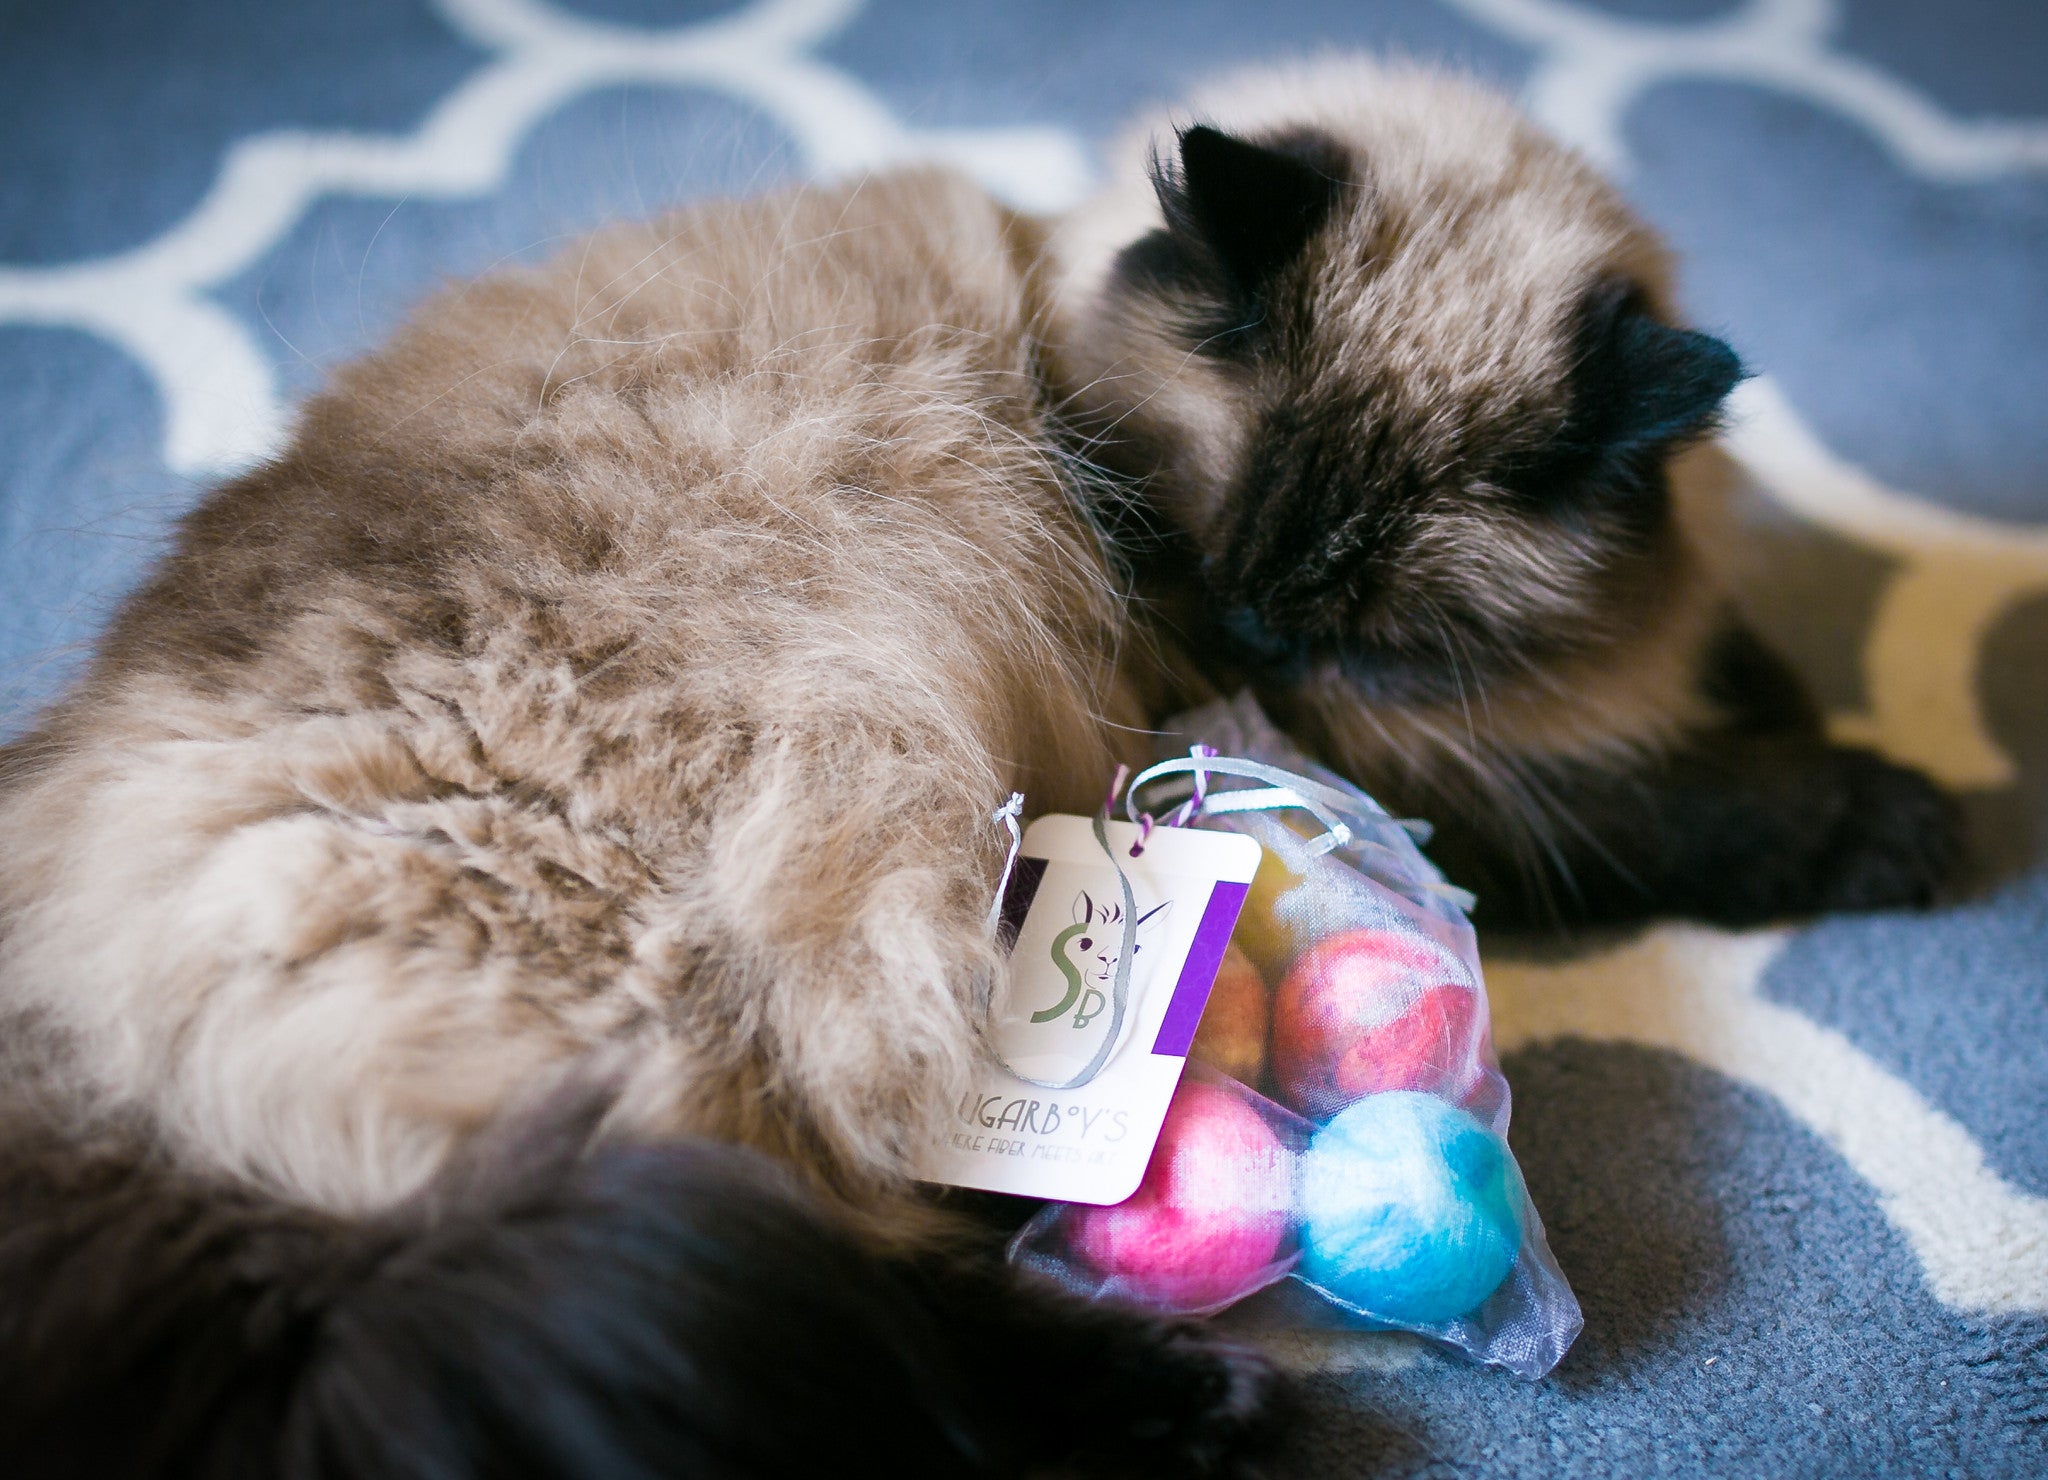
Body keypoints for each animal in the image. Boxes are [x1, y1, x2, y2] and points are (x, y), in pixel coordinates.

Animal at [0, 52, 1949, 1473]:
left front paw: (1770, 676)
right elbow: (1656, 806)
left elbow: (1715, 664)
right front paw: (1898, 812)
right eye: (1190, 551)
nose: (1247, 638)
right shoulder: (1347, 756)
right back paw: (1200, 1407)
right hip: (715, 995)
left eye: (1345, 614)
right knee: (824, 1301)